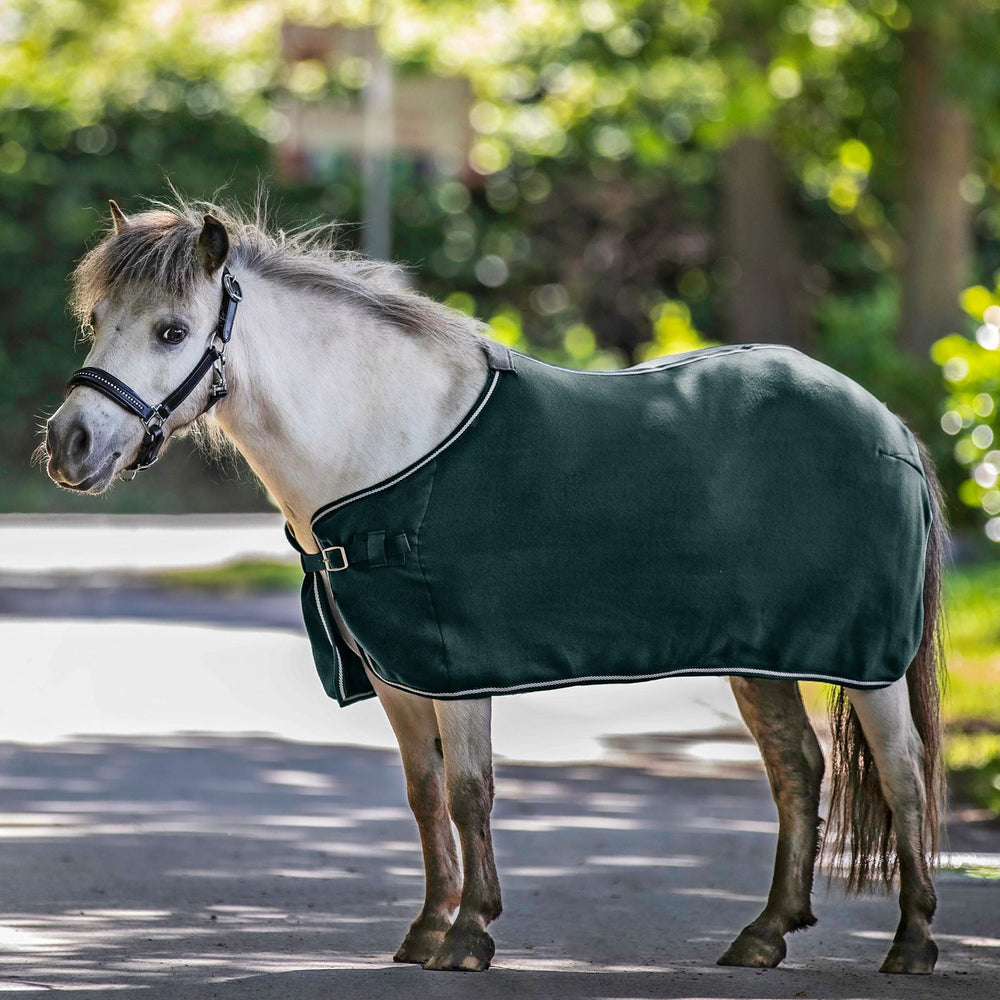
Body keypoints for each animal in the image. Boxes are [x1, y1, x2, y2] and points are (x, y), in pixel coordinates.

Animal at [45, 201, 944, 976]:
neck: (384, 441)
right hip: (762, 660)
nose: (69, 443)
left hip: (868, 662)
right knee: (798, 769)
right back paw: (764, 935)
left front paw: (470, 934)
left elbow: (470, 792)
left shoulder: (453, 665)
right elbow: (424, 794)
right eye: (98, 320)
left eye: (171, 330)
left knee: (903, 773)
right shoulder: (395, 672)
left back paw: (912, 943)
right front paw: (426, 929)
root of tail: (889, 426)